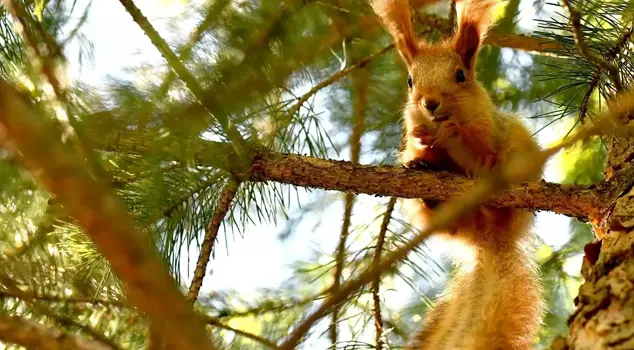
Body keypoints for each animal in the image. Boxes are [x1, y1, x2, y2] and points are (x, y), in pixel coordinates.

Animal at [370, 0, 544, 350]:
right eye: (410, 81)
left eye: (460, 75)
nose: (430, 102)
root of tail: (490, 238)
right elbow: (421, 146)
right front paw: (423, 150)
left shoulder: (487, 127)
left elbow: (478, 145)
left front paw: (456, 136)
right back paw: (432, 196)